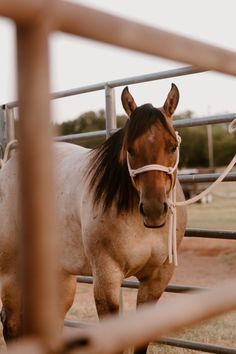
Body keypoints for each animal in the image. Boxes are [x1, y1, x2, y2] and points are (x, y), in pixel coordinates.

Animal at [0, 83, 186, 354]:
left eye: (172, 146)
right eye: (130, 149)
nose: (153, 209)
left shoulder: (156, 279)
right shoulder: (107, 278)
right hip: (11, 272)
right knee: (12, 325)